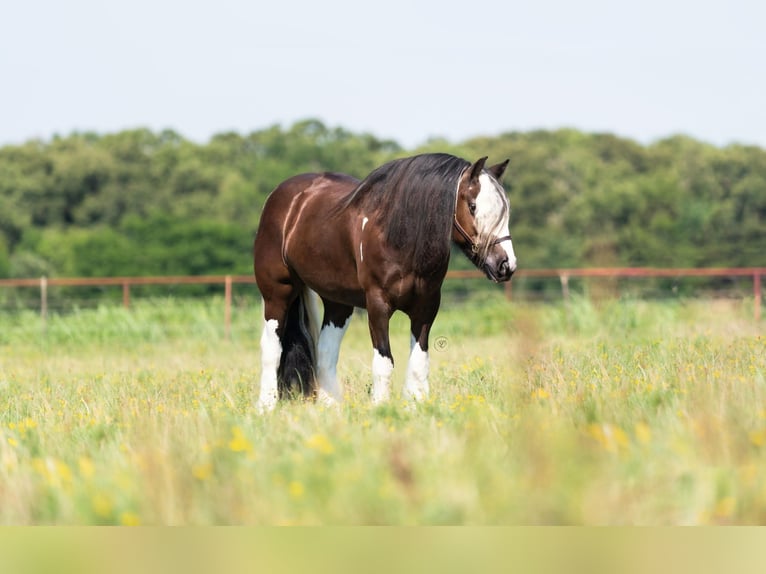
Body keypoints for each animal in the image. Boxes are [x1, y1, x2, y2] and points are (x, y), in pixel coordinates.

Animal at [255, 153, 520, 414]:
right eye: (473, 206)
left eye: (505, 209)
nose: (506, 265)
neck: (399, 237)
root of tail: (286, 197)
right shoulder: (378, 305)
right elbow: (384, 362)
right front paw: (381, 408)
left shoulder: (426, 308)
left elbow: (418, 362)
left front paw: (416, 407)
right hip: (277, 292)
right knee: (271, 348)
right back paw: (266, 405)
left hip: (337, 302)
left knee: (326, 351)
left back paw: (330, 408)